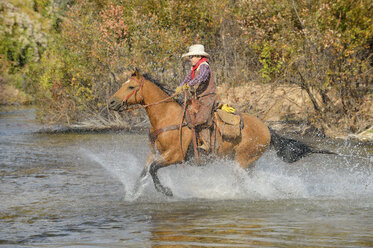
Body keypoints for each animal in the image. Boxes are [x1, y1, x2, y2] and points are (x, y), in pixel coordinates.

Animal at [108, 70, 334, 197]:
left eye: (130, 86)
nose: (111, 102)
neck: (166, 117)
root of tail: (267, 128)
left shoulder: (174, 156)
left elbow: (154, 169)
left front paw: (167, 191)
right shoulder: (154, 152)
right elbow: (144, 171)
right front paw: (133, 193)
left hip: (243, 160)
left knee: (241, 180)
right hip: (250, 162)